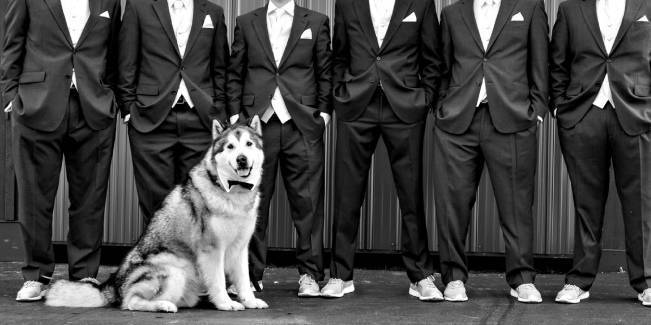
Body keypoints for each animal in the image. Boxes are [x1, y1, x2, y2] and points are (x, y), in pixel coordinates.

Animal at [44, 116, 268, 312]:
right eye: (230, 147)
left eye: (248, 144)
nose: (241, 159)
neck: (232, 191)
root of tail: (113, 284)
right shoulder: (212, 249)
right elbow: (219, 281)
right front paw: (226, 303)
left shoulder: (240, 248)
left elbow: (244, 280)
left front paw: (250, 300)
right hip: (173, 270)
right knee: (131, 302)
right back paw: (163, 306)